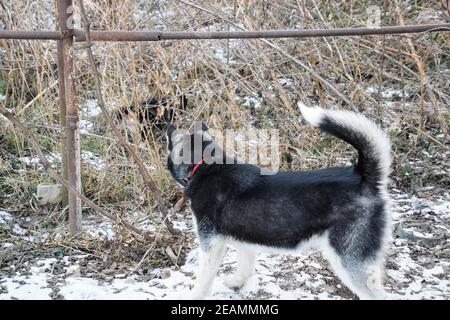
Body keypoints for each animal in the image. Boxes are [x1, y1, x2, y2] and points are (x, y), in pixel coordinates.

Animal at [165, 103, 390, 300]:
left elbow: (203, 279)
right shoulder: (243, 237)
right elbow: (244, 265)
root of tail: (362, 176)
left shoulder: (211, 243)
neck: (204, 167)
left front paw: (192, 296)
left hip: (349, 261)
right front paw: (237, 282)